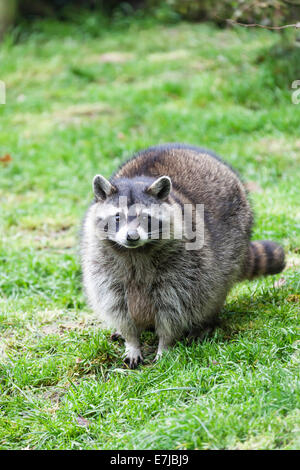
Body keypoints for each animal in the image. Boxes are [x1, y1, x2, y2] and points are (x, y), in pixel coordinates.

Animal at [80, 143, 286, 368]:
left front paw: (165, 344)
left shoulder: (185, 266)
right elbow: (117, 306)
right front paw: (132, 341)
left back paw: (205, 323)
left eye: (147, 218)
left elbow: (175, 307)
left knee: (213, 290)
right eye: (117, 217)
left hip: (234, 242)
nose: (132, 237)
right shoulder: (103, 266)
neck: (135, 252)